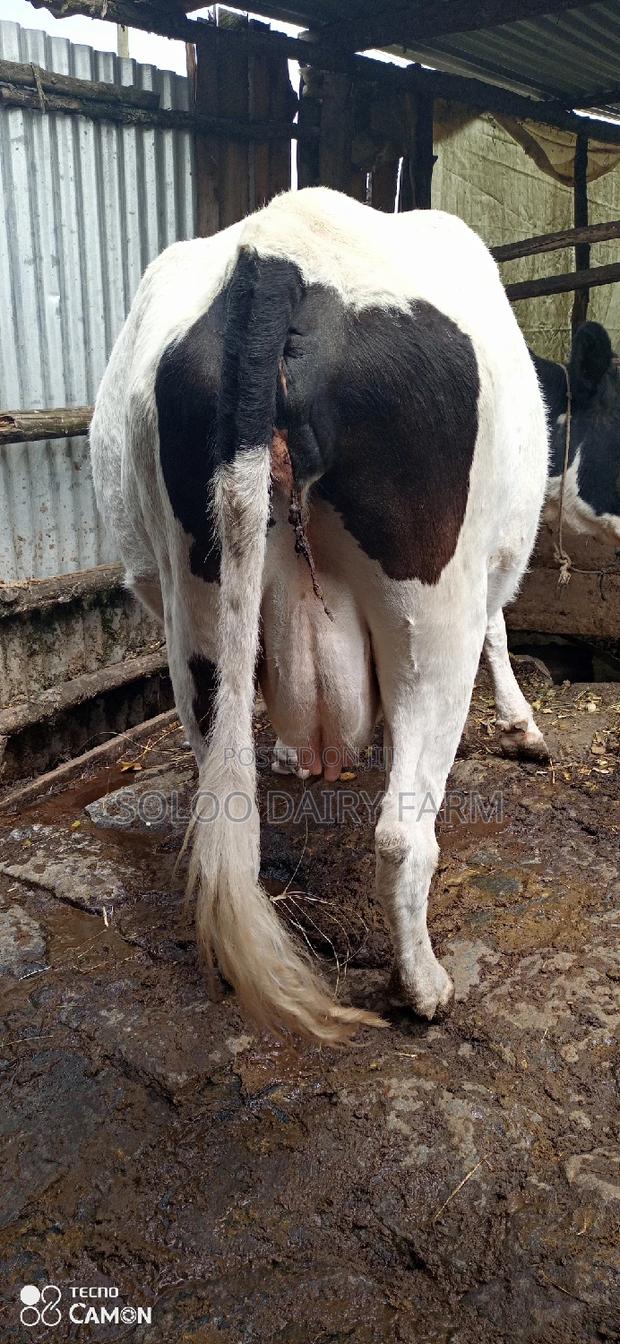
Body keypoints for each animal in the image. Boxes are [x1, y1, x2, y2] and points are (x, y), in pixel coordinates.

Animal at [90, 187, 548, 1043]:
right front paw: (522, 728)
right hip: (432, 606)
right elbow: (503, 632)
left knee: (224, 798)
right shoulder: (493, 564)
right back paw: (425, 987)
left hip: (192, 593)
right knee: (403, 831)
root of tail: (277, 254)